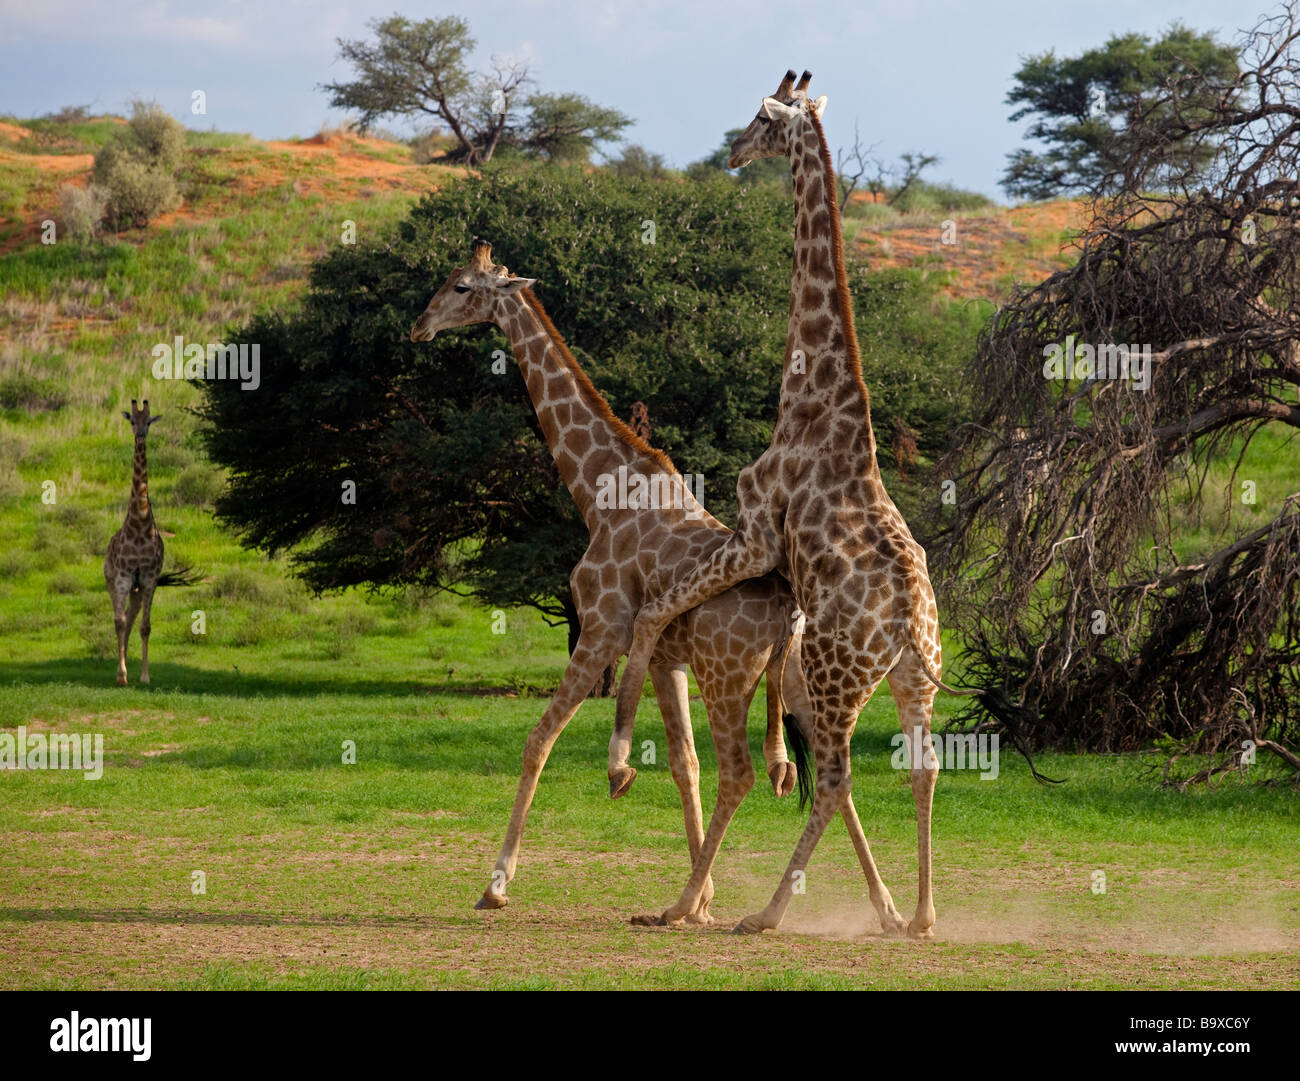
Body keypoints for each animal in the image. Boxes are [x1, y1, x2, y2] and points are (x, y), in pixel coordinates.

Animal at [410, 239, 812, 920]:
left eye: (462, 286)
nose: (420, 326)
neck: (599, 493)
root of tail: (790, 607)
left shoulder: (599, 632)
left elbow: (538, 740)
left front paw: (495, 885)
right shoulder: (664, 660)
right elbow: (683, 763)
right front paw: (706, 896)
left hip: (728, 677)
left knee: (742, 773)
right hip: (787, 681)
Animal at [609, 70, 945, 939]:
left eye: (761, 117)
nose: (730, 153)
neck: (812, 395)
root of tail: (907, 623)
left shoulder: (758, 530)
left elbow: (655, 608)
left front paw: (622, 756)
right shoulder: (764, 550)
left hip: (835, 674)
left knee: (838, 776)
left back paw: (764, 913)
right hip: (913, 681)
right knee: (923, 768)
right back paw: (921, 913)